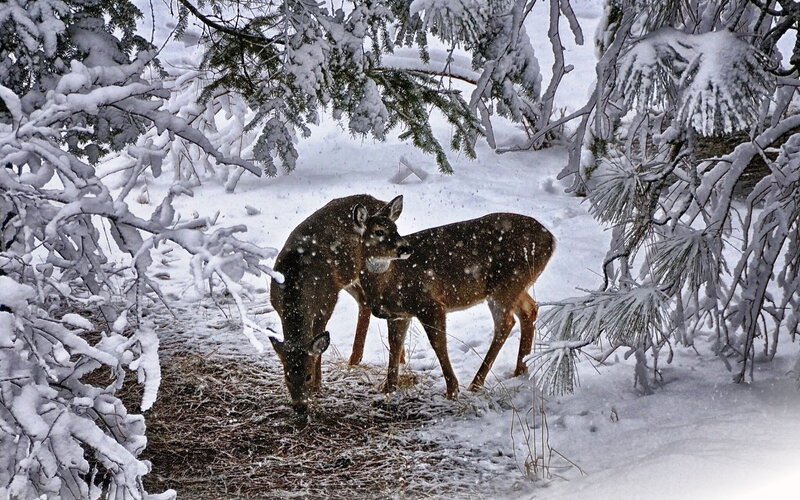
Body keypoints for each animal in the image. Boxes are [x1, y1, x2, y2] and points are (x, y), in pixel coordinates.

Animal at [269, 194, 404, 414]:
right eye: (287, 376)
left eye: (307, 375)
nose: (300, 407)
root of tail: (380, 202)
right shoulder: (276, 304)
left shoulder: (327, 300)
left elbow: (318, 340)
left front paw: (318, 386)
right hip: (350, 277)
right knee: (364, 302)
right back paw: (356, 359)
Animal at [352, 196, 555, 398]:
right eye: (379, 231)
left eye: (395, 228)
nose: (406, 248)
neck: (388, 282)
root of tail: (552, 240)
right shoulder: (398, 314)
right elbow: (394, 345)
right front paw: (388, 388)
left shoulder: (430, 303)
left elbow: (438, 343)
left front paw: (452, 389)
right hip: (515, 285)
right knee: (530, 309)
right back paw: (520, 371)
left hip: (506, 284)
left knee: (506, 323)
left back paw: (476, 383)